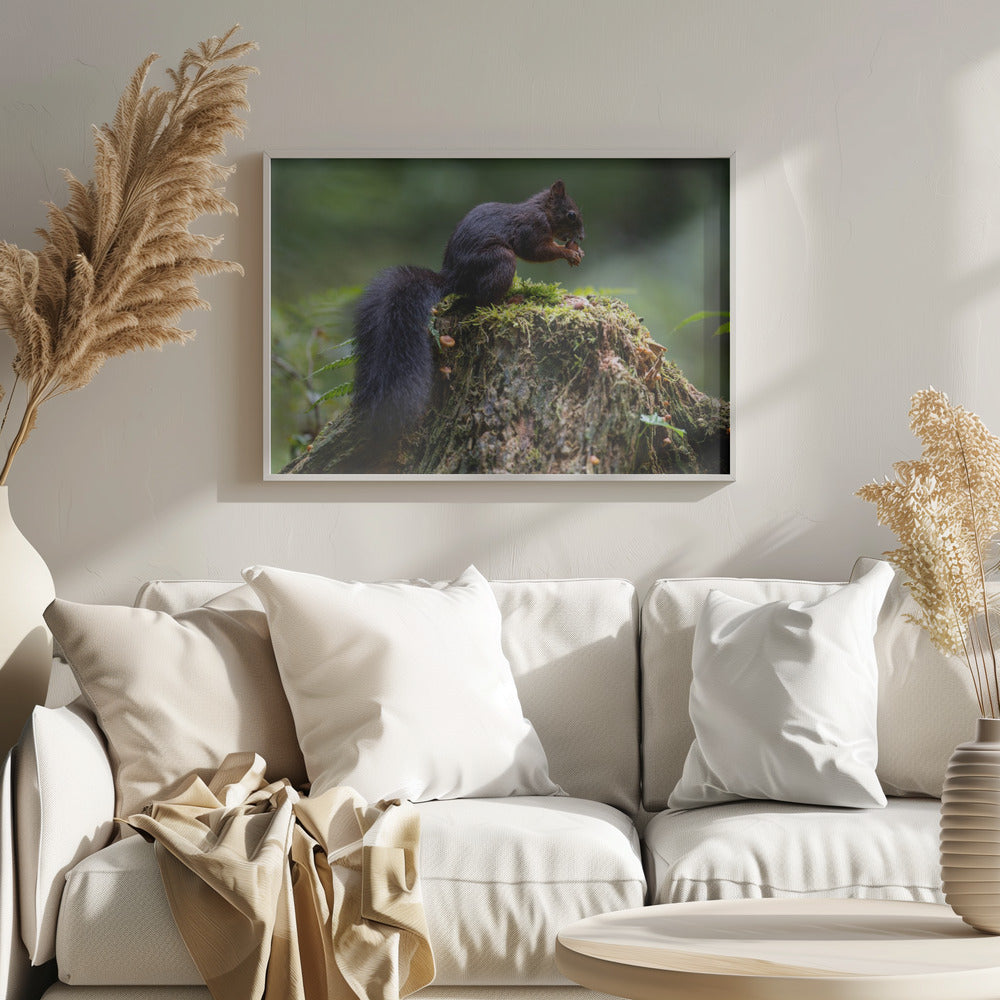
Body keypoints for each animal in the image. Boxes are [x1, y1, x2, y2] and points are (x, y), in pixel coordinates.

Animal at [351, 180, 585, 437]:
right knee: (482, 300)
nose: (582, 237)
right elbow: (536, 251)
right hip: (501, 260)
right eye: (571, 214)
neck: (542, 211)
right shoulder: (531, 228)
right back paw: (510, 300)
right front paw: (568, 252)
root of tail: (453, 278)